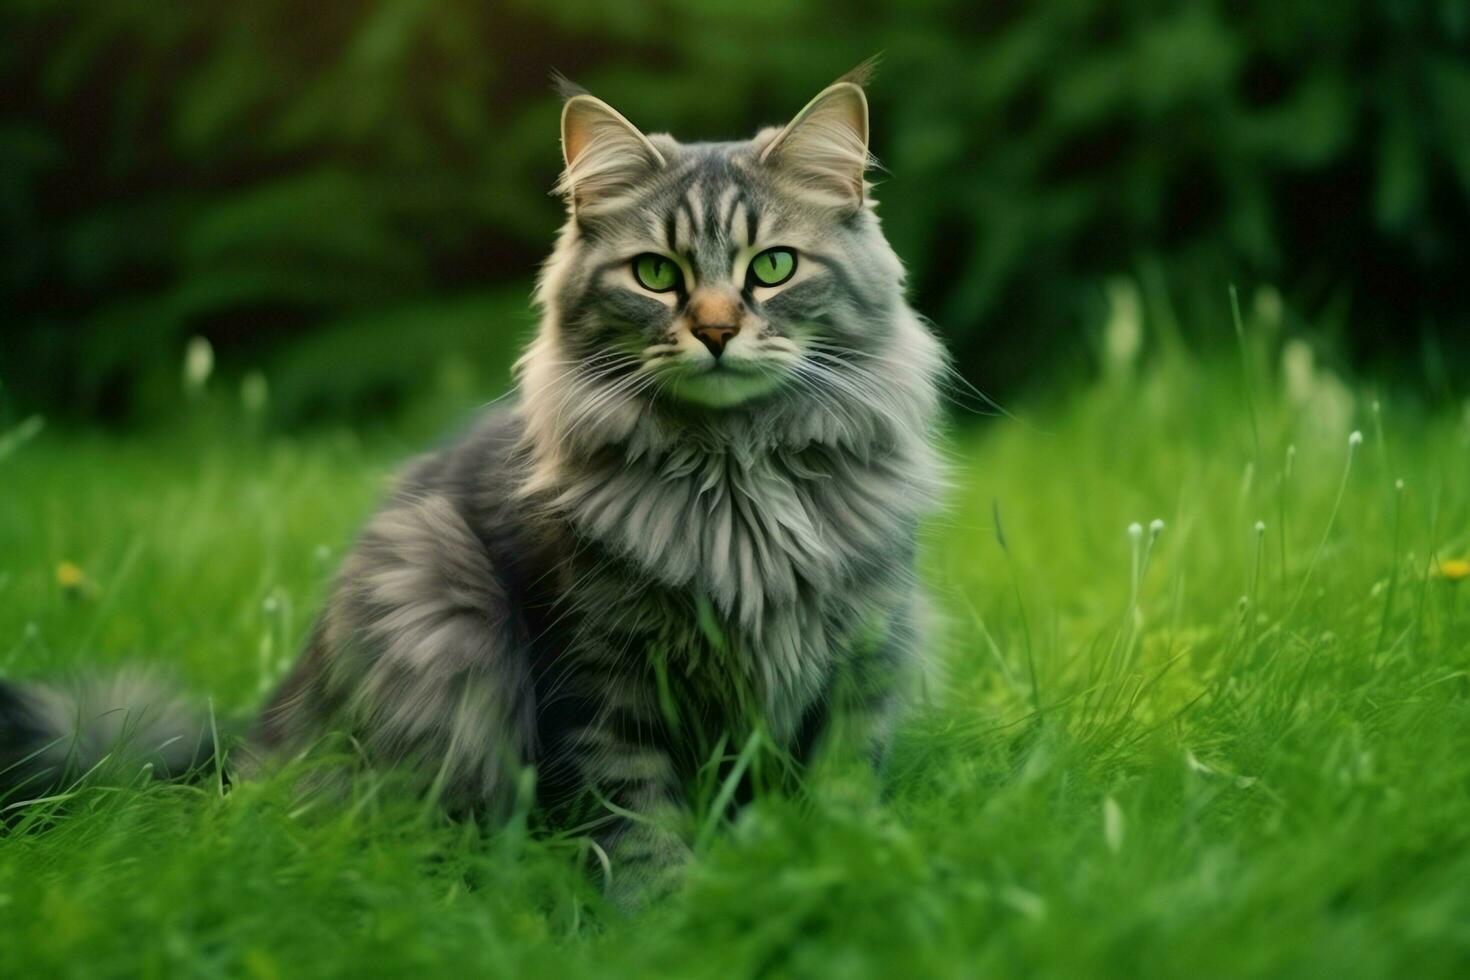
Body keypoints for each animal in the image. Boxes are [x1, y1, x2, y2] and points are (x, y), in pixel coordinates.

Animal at [0, 69, 940, 910]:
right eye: (656, 275)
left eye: (773, 267)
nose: (713, 331)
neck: (734, 476)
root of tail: (244, 751)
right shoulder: (600, 679)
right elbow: (636, 821)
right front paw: (665, 920)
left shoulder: (862, 659)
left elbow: (841, 788)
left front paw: (838, 873)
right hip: (435, 617)